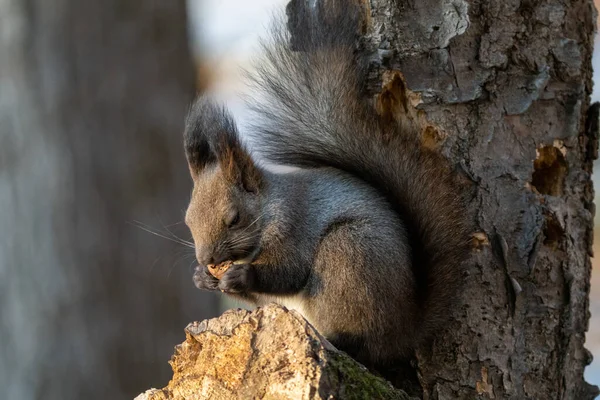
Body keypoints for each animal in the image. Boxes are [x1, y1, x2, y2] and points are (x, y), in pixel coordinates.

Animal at [180, 0, 472, 366]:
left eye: (233, 218)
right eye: (188, 221)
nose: (207, 259)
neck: (271, 205)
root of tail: (405, 330)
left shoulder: (295, 227)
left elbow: (289, 272)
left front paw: (240, 275)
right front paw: (201, 277)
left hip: (347, 256)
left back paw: (340, 341)